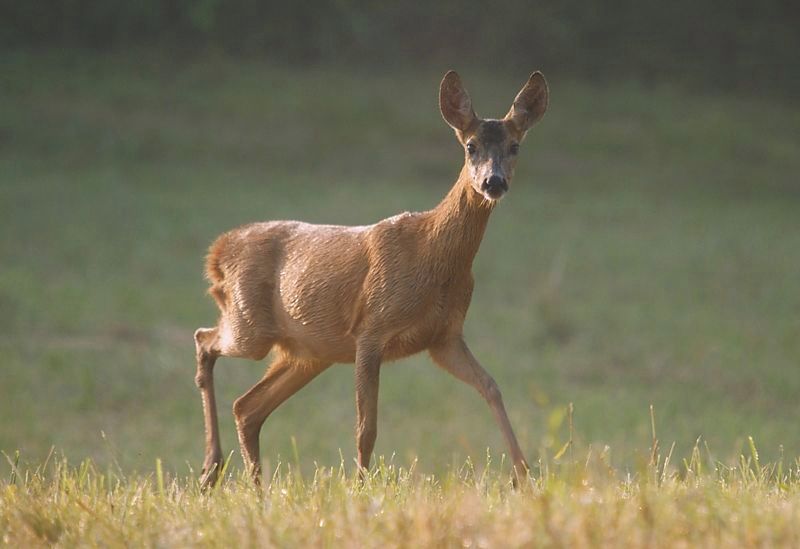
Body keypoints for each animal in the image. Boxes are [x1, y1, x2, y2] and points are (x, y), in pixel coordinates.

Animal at [192, 70, 552, 486]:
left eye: (515, 146)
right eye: (471, 146)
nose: (493, 182)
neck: (434, 260)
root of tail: (218, 252)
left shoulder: (444, 337)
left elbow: (492, 387)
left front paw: (524, 475)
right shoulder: (371, 328)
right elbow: (366, 428)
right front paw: (361, 488)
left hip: (308, 352)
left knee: (247, 407)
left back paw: (245, 484)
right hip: (251, 327)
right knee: (205, 340)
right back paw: (212, 467)